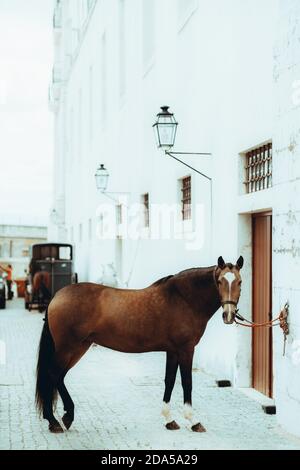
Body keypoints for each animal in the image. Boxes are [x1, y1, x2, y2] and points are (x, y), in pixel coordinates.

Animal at [35, 258, 244, 434]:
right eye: (220, 281)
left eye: (240, 282)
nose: (229, 315)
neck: (183, 299)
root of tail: (57, 296)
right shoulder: (186, 349)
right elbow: (187, 383)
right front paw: (193, 421)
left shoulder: (173, 351)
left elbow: (169, 381)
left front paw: (169, 420)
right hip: (67, 348)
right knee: (53, 374)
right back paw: (56, 420)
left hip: (79, 347)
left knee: (59, 376)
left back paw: (61, 418)